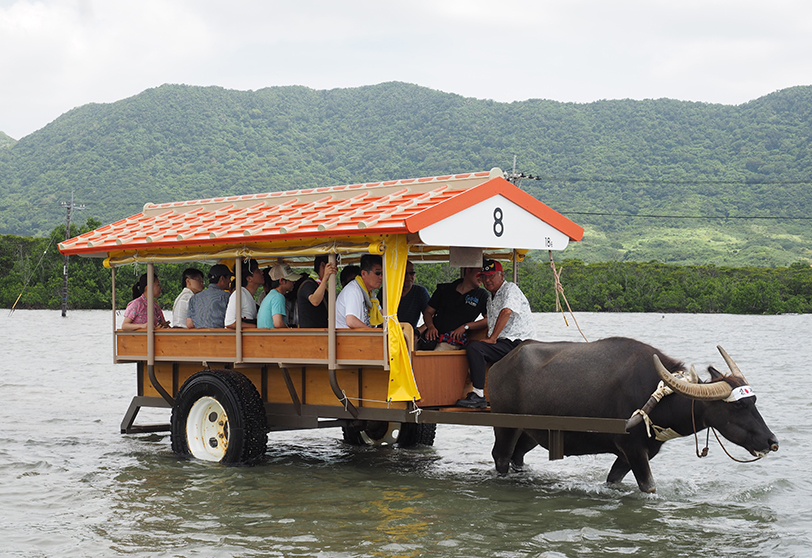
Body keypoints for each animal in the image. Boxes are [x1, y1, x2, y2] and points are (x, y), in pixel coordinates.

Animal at [486, 336, 776, 494]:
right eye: (737, 407)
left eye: (754, 401)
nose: (771, 441)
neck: (657, 397)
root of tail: (500, 366)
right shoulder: (634, 450)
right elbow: (649, 487)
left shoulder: (628, 456)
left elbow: (613, 480)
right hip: (505, 426)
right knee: (501, 456)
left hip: (531, 432)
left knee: (518, 456)